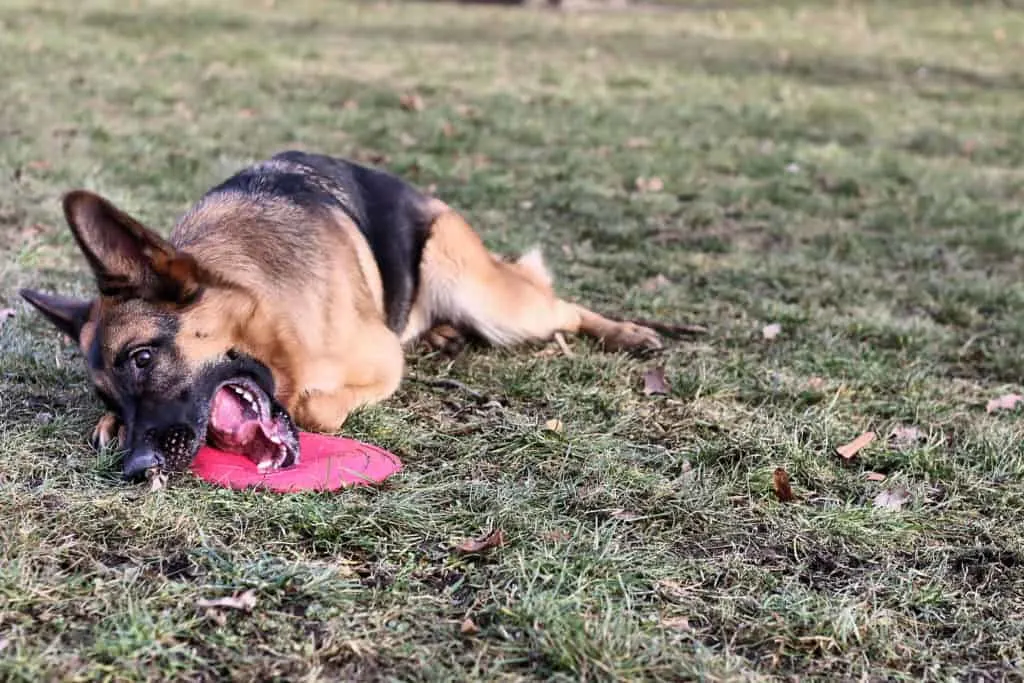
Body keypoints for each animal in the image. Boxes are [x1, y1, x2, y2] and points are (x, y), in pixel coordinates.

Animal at [22, 150, 663, 481]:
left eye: (142, 357)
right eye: (107, 395)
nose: (136, 468)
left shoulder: (380, 360)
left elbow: (319, 410)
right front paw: (109, 427)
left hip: (489, 297)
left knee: (558, 305)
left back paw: (629, 332)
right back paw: (446, 335)